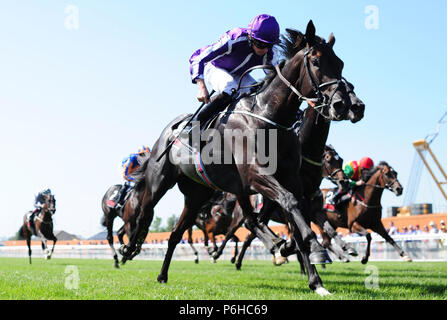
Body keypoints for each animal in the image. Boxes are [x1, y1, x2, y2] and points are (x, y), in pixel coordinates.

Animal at [121, 20, 364, 296]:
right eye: (315, 61)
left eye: (340, 63)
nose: (343, 104)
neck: (270, 116)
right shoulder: (256, 175)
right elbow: (290, 204)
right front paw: (313, 249)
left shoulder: (290, 179)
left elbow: (296, 217)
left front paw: (315, 279)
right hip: (160, 180)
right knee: (144, 212)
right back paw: (129, 249)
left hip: (198, 194)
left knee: (176, 233)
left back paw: (162, 275)